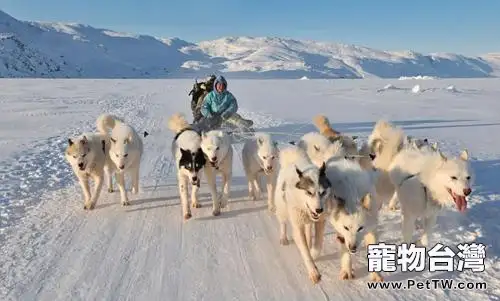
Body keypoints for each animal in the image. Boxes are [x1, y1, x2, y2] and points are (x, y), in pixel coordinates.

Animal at [274, 145, 332, 284]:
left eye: (322, 192)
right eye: (309, 192)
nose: (319, 210)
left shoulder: (320, 222)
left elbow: (318, 244)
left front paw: (313, 252)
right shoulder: (297, 225)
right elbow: (304, 250)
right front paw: (313, 271)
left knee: (308, 229)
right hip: (282, 208)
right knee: (283, 222)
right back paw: (283, 237)